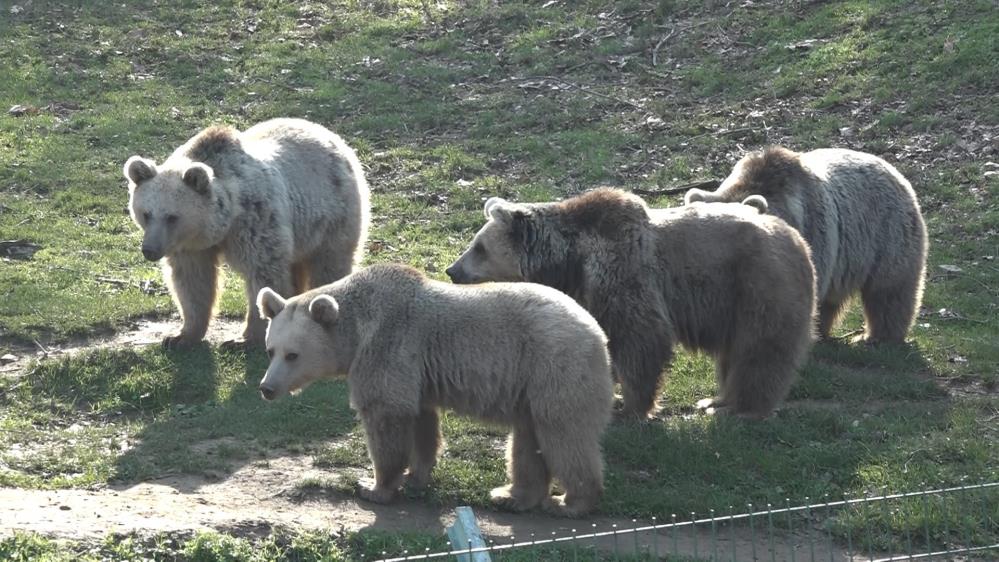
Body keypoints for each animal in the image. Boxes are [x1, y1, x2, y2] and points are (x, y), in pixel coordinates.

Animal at [123, 117, 370, 346]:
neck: (224, 221)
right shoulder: (191, 248)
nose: (150, 250)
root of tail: (329, 134)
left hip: (332, 216)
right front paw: (180, 336)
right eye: (146, 214)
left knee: (330, 264)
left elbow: (262, 275)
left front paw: (244, 339)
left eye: (172, 217)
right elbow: (193, 282)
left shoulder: (257, 222)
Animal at [254, 262, 612, 516]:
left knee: (563, 434)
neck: (356, 331)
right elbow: (421, 423)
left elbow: (385, 416)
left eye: (292, 355)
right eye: (271, 350)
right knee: (528, 441)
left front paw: (373, 486)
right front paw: (416, 476)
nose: (267, 388)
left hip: (553, 368)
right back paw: (512, 495)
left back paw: (572, 501)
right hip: (530, 386)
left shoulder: (388, 347)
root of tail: (597, 333)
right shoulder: (418, 374)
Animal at [450, 190, 816, 418]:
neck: (571, 261)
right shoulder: (588, 292)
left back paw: (740, 407)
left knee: (759, 350)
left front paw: (631, 406)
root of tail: (796, 237)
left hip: (758, 284)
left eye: (479, 247)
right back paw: (716, 398)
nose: (452, 270)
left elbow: (638, 337)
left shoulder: (622, 270)